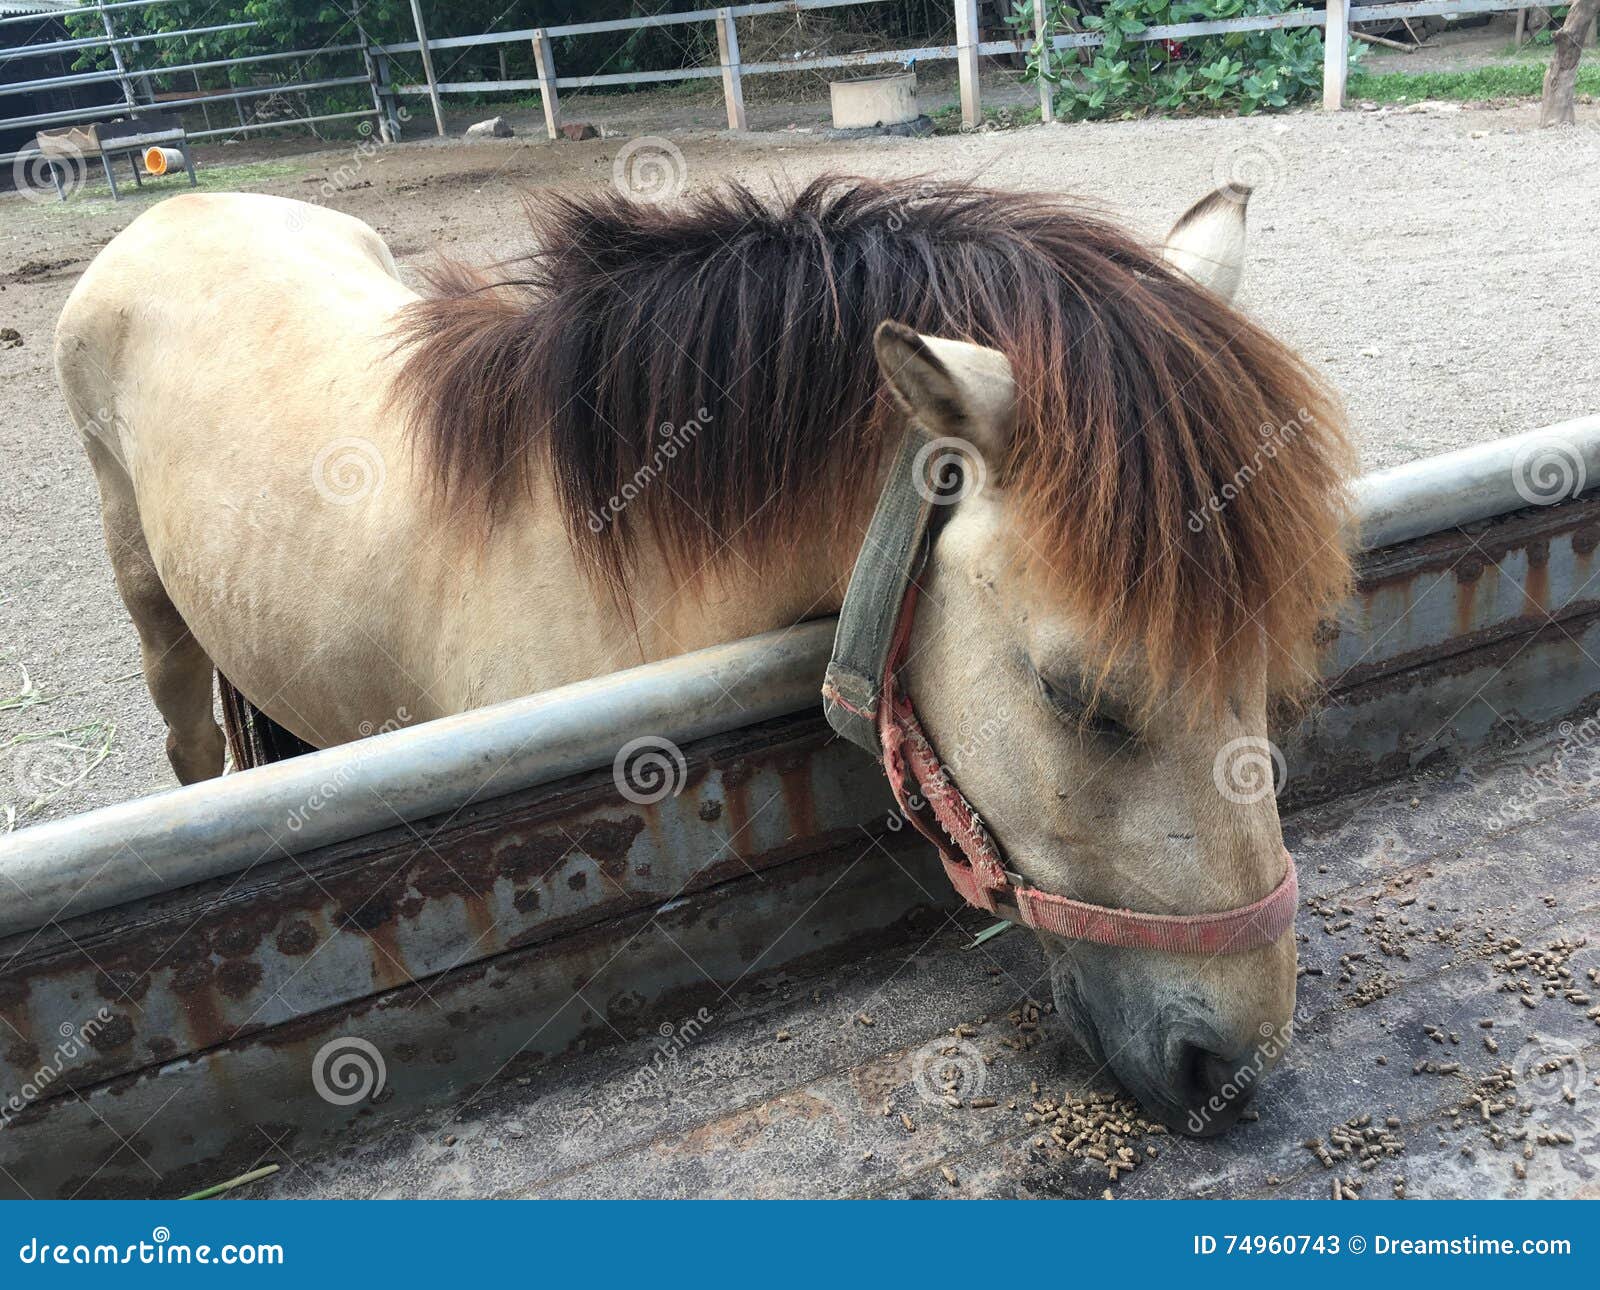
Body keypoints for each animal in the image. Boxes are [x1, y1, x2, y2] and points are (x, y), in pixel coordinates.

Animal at [54, 175, 1352, 1132]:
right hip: (154, 615)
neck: (603, 553)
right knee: (188, 748)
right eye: (1076, 695)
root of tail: (180, 205)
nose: (1229, 1065)